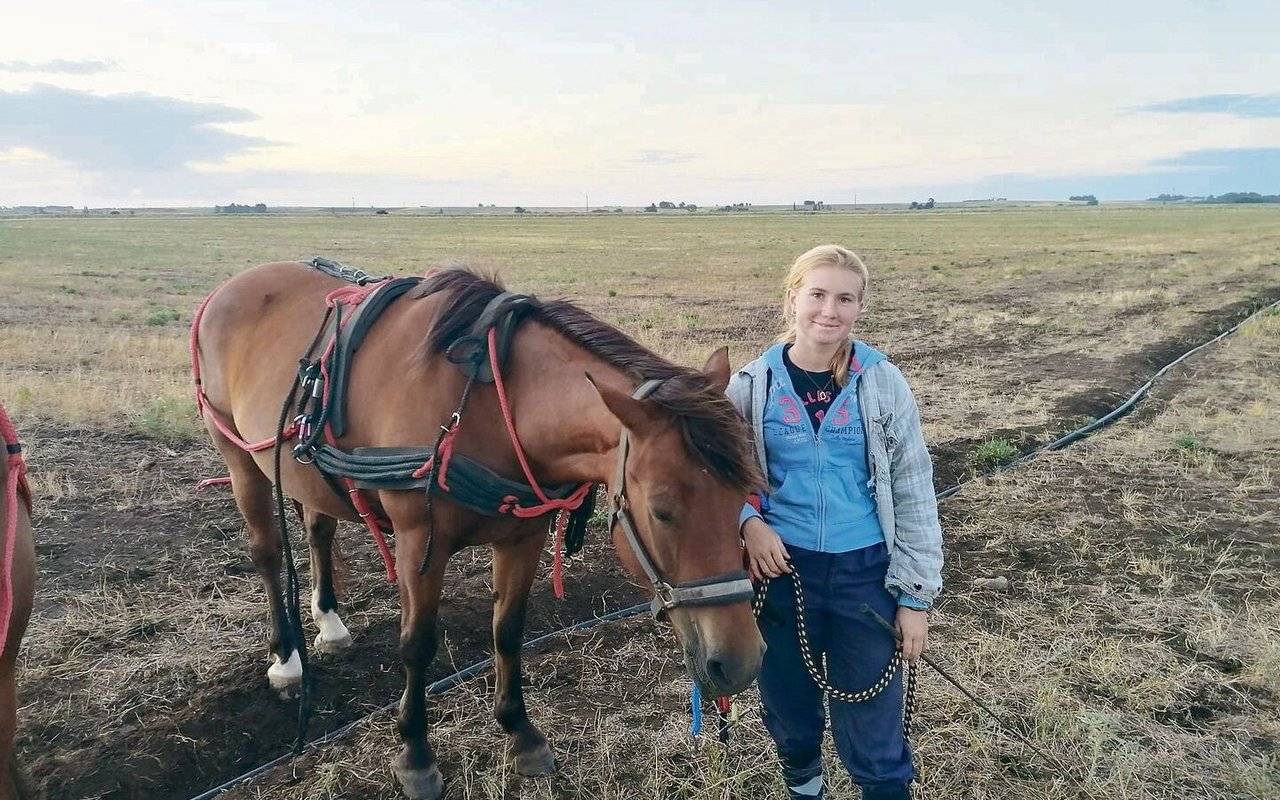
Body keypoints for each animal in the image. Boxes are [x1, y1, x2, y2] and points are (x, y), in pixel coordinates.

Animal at [194, 258, 762, 793]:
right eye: (663, 510)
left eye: (745, 497)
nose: (742, 663)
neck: (490, 405)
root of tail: (229, 287)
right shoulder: (419, 541)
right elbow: (417, 644)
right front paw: (415, 754)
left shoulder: (523, 536)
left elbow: (508, 630)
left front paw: (521, 733)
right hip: (238, 456)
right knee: (267, 552)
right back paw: (286, 658)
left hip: (304, 472)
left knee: (318, 529)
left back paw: (329, 622)